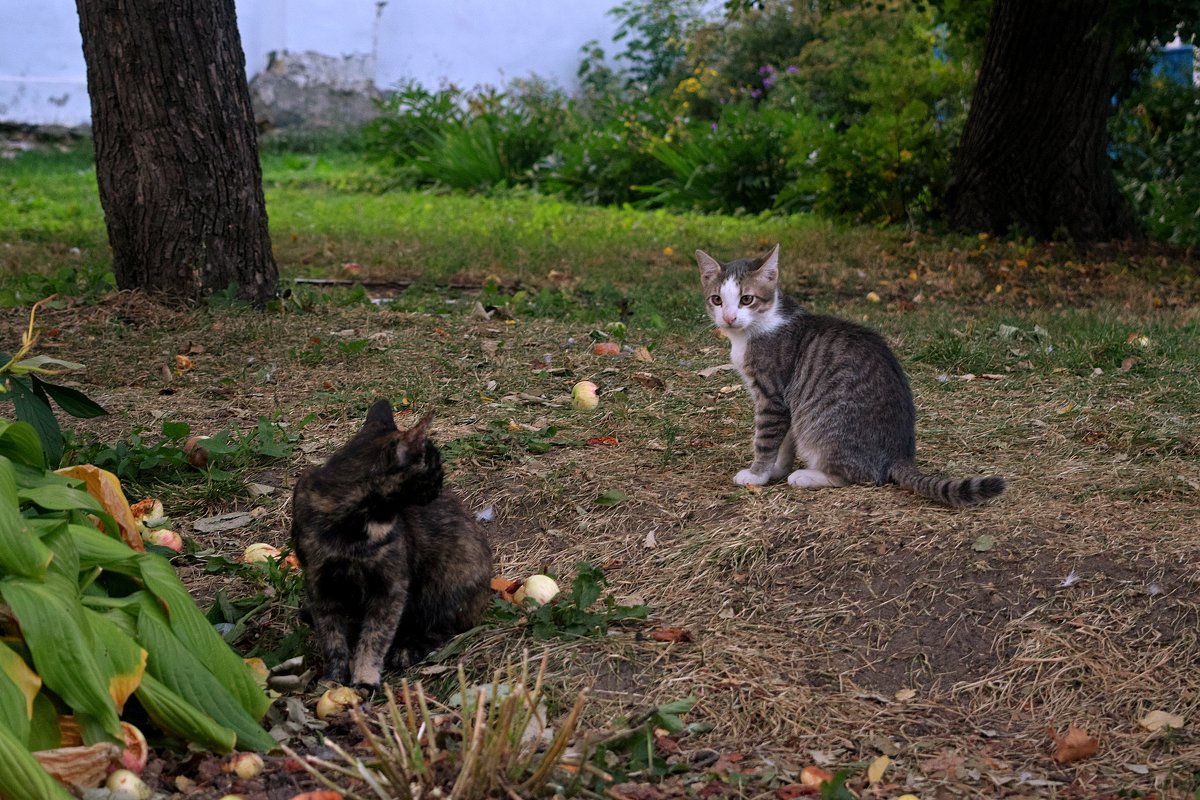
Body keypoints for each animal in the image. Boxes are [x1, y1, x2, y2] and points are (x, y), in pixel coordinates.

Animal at [290, 402, 492, 690]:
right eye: (436, 465)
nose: (442, 484)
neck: (353, 529)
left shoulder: (390, 587)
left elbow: (375, 638)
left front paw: (365, 679)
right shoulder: (321, 587)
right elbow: (332, 638)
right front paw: (334, 678)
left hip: (446, 582)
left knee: (442, 628)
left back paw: (408, 649)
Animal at [700, 244, 1008, 506]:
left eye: (746, 299)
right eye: (717, 300)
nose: (728, 318)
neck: (758, 326)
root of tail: (900, 452)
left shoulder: (772, 395)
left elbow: (765, 440)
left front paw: (757, 475)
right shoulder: (787, 403)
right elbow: (785, 441)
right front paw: (776, 469)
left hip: (823, 425)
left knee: (857, 476)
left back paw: (807, 476)